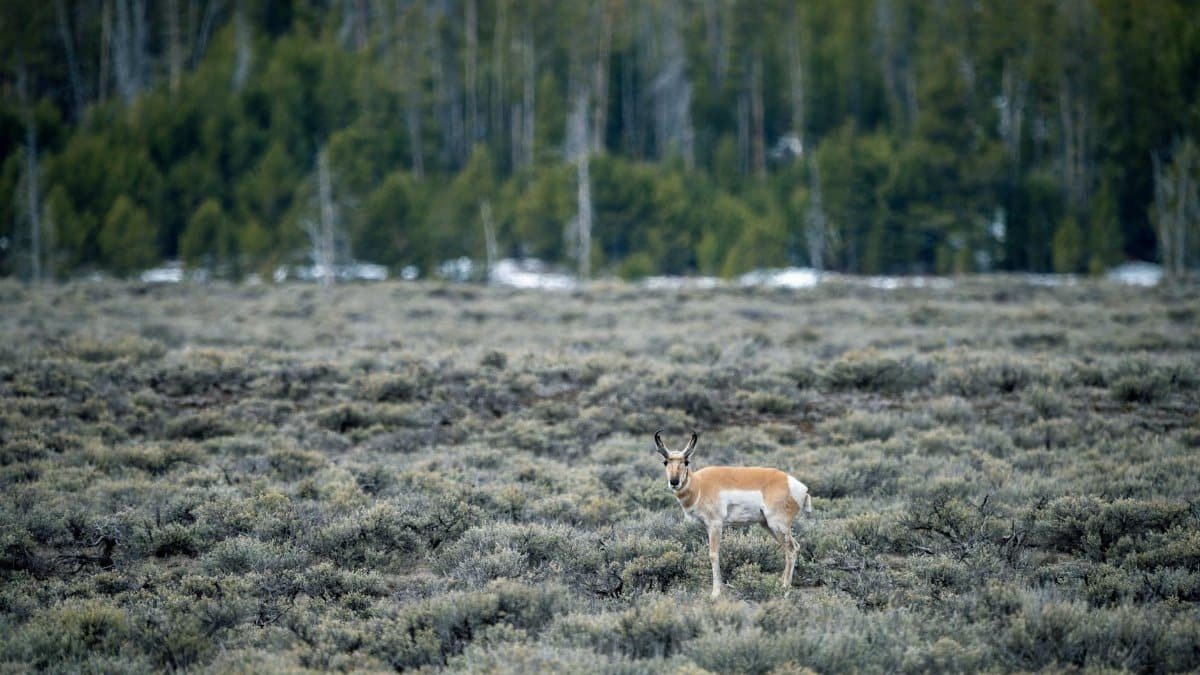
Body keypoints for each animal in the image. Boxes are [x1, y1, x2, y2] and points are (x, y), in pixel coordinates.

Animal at [655, 430, 812, 598]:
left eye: (686, 461)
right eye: (665, 462)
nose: (674, 482)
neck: (700, 484)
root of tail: (798, 486)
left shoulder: (715, 525)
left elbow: (713, 554)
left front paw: (716, 593)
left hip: (778, 526)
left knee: (791, 549)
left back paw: (785, 588)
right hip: (768, 525)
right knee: (793, 547)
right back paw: (780, 584)